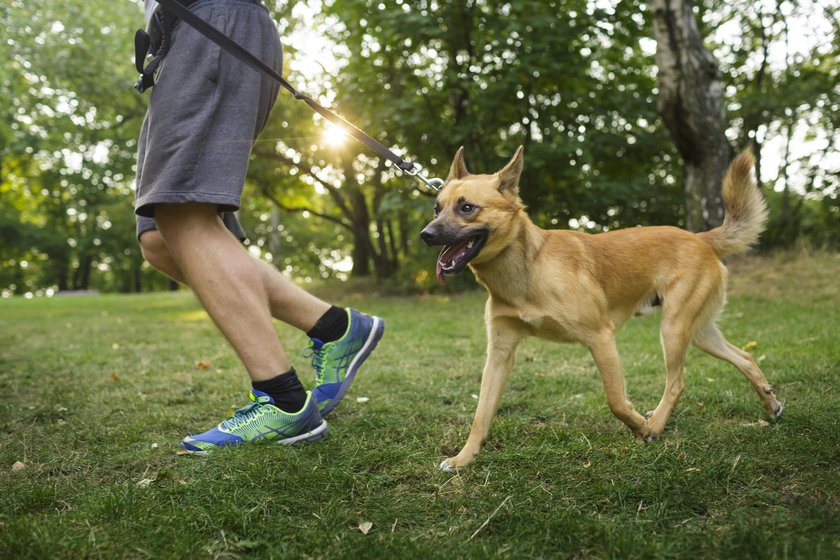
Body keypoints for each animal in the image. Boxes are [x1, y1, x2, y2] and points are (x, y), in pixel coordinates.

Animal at [424, 147, 784, 470]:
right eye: (436, 208)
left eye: (466, 207)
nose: (425, 234)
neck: (527, 269)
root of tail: (700, 238)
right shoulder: (500, 353)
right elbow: (481, 414)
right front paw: (464, 458)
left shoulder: (601, 338)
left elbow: (615, 400)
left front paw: (641, 429)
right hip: (698, 332)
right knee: (745, 357)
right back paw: (771, 404)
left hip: (674, 329)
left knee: (677, 383)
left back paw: (656, 423)